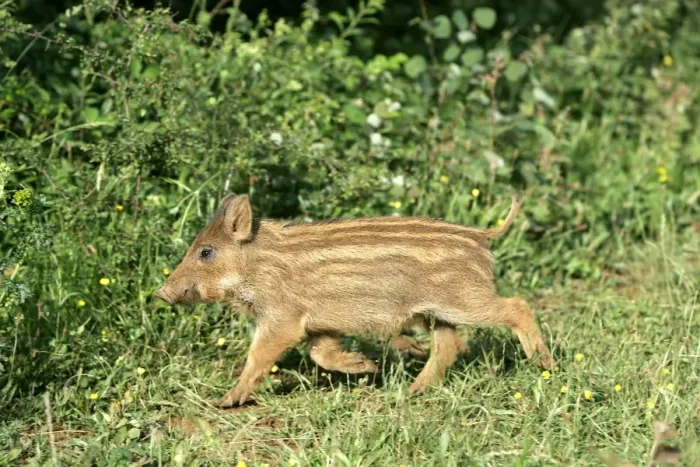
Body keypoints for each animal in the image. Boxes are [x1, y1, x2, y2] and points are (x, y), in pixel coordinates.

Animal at [154, 194, 552, 407]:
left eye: (206, 251)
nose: (162, 292)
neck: (258, 266)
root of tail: (483, 234)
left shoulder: (282, 319)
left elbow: (258, 358)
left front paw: (225, 402)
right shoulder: (319, 325)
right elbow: (321, 353)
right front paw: (366, 366)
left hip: (465, 299)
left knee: (517, 307)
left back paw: (544, 364)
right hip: (437, 312)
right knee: (449, 346)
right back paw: (410, 391)